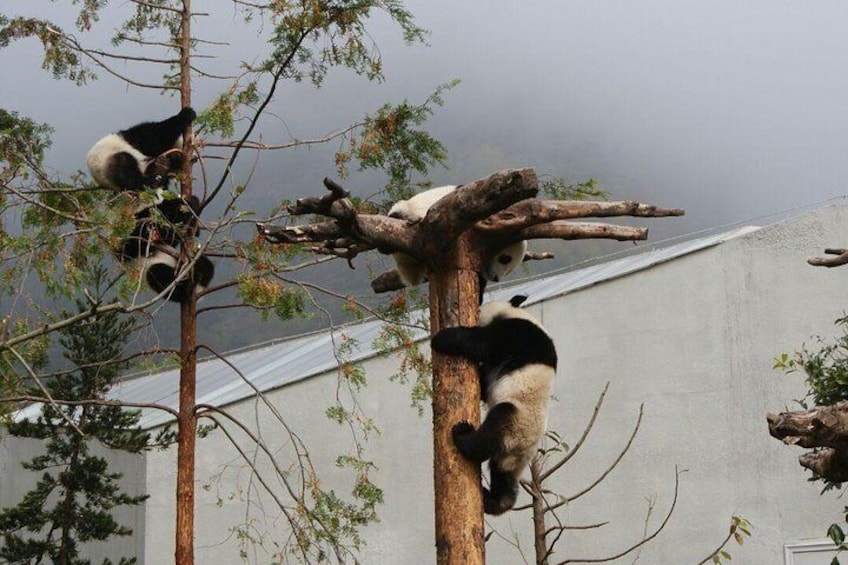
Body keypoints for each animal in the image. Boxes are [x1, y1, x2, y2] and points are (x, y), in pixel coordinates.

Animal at [86, 107, 215, 302]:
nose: (189, 156)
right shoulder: (138, 141)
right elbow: (156, 133)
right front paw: (186, 115)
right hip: (112, 161)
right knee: (158, 274)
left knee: (205, 264)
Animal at [430, 296, 556, 516]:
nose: (478, 310)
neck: (518, 312)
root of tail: (522, 446)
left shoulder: (515, 334)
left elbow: (481, 343)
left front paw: (440, 338)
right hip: (511, 456)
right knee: (503, 477)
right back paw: (497, 501)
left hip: (515, 417)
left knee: (491, 431)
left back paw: (462, 434)